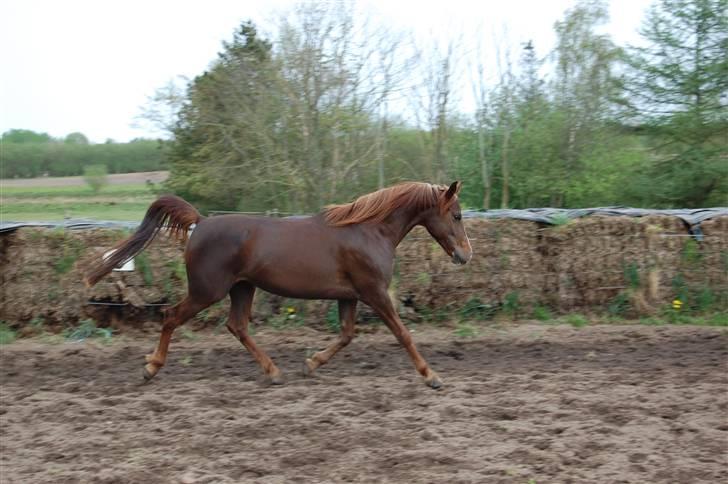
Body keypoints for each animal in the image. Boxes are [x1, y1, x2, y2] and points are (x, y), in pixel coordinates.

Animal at [85, 182, 472, 390]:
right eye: (456, 215)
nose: (466, 255)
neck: (368, 231)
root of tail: (201, 222)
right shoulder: (374, 293)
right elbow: (403, 334)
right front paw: (432, 376)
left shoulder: (349, 297)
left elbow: (347, 336)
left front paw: (310, 364)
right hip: (206, 291)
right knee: (171, 316)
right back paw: (151, 367)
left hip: (242, 288)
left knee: (237, 325)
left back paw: (273, 371)